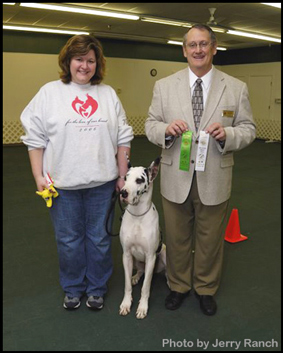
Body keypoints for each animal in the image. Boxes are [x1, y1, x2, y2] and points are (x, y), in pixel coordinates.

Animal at [119, 157, 166, 320]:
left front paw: (142, 307)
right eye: (125, 178)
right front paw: (126, 303)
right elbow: (126, 285)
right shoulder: (126, 255)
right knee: (141, 272)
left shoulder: (151, 257)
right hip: (134, 261)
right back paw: (135, 276)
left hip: (163, 254)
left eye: (139, 180)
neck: (138, 215)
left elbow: (145, 287)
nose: (123, 192)